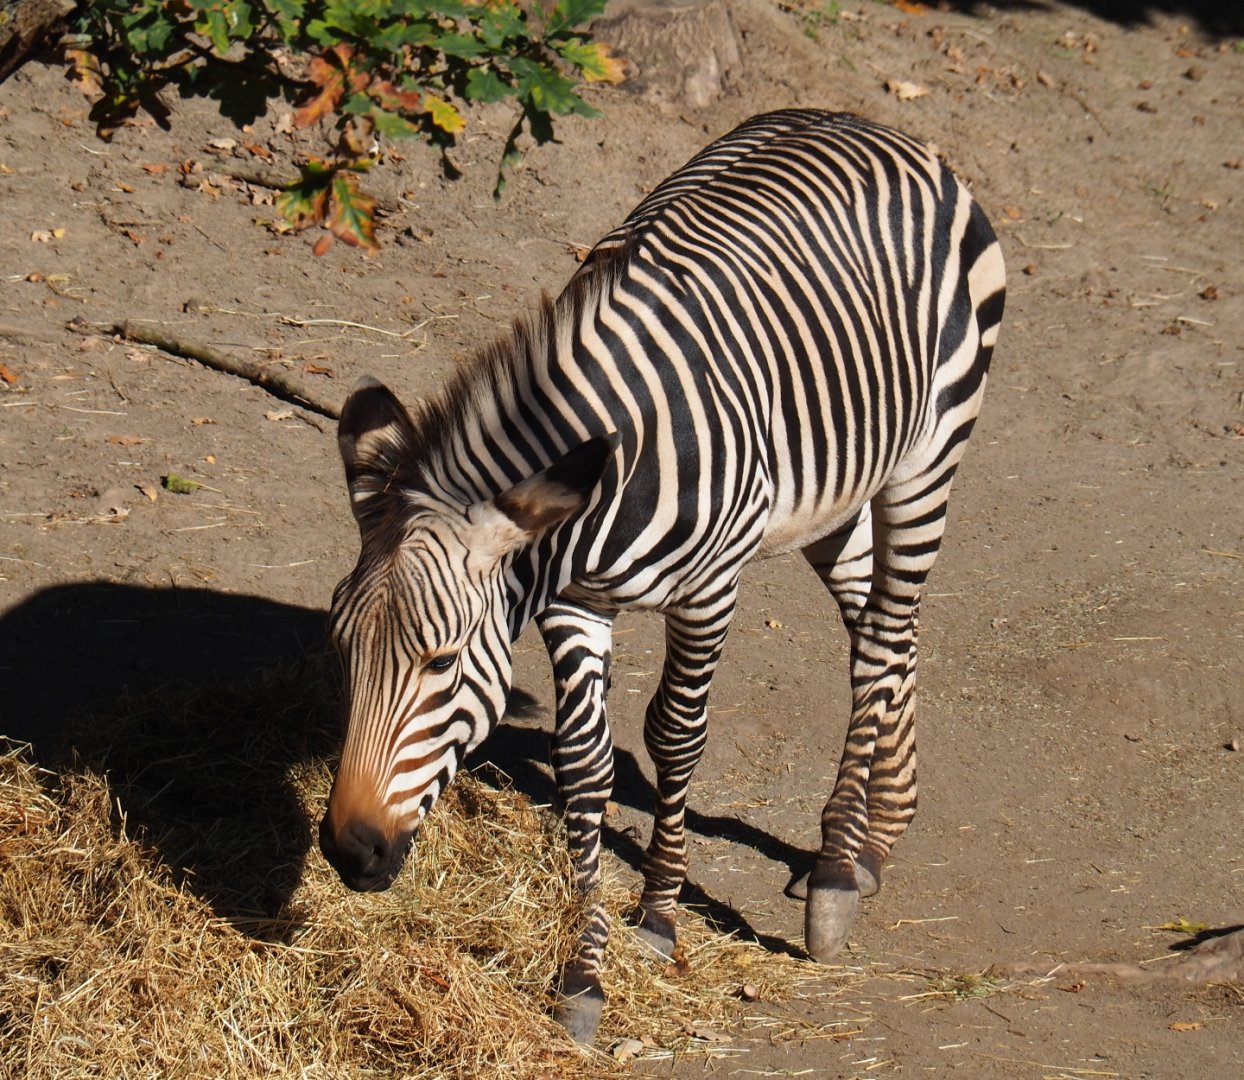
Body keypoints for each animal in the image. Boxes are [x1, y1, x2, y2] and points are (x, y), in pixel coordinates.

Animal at [318, 109, 1005, 1043]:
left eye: (443, 663)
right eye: (340, 652)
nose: (349, 852)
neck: (600, 490)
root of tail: (866, 123)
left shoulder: (709, 591)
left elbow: (676, 735)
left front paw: (657, 916)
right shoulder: (572, 605)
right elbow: (584, 762)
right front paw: (582, 974)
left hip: (930, 451)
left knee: (886, 631)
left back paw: (835, 874)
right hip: (830, 491)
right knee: (878, 626)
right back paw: (876, 837)